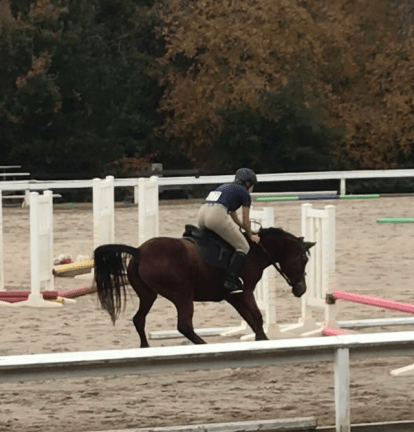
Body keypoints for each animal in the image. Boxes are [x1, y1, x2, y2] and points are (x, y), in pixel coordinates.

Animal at [94, 227, 315, 347]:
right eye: (303, 259)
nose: (301, 289)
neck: (255, 251)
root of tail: (139, 251)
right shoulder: (243, 293)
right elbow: (257, 318)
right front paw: (263, 340)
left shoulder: (234, 296)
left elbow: (252, 320)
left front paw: (262, 340)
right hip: (182, 294)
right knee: (184, 325)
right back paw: (203, 345)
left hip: (148, 295)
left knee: (139, 319)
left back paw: (145, 347)